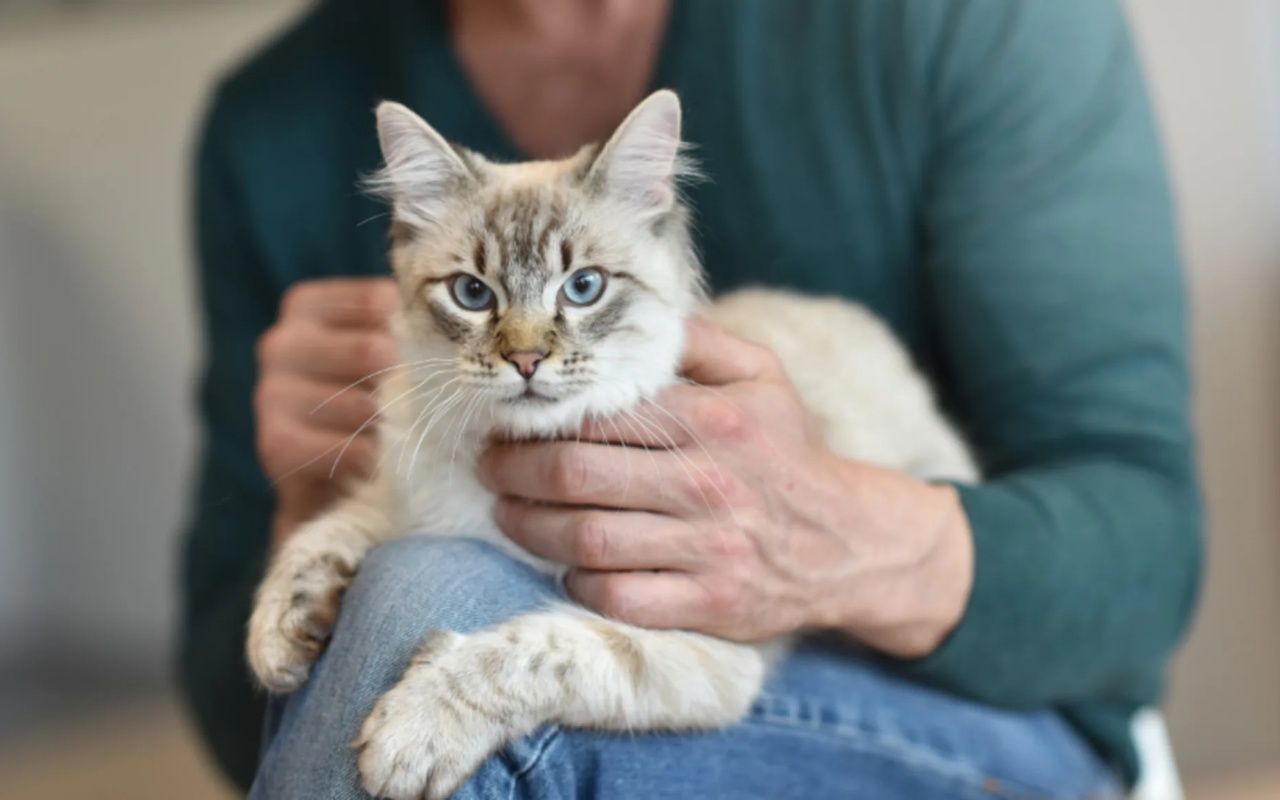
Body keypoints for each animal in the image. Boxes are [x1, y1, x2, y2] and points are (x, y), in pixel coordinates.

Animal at [244, 90, 972, 798]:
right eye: (473, 294)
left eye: (583, 288)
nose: (526, 361)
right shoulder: (408, 497)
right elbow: (323, 534)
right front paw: (281, 636)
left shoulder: (696, 642)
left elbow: (534, 652)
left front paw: (414, 730)